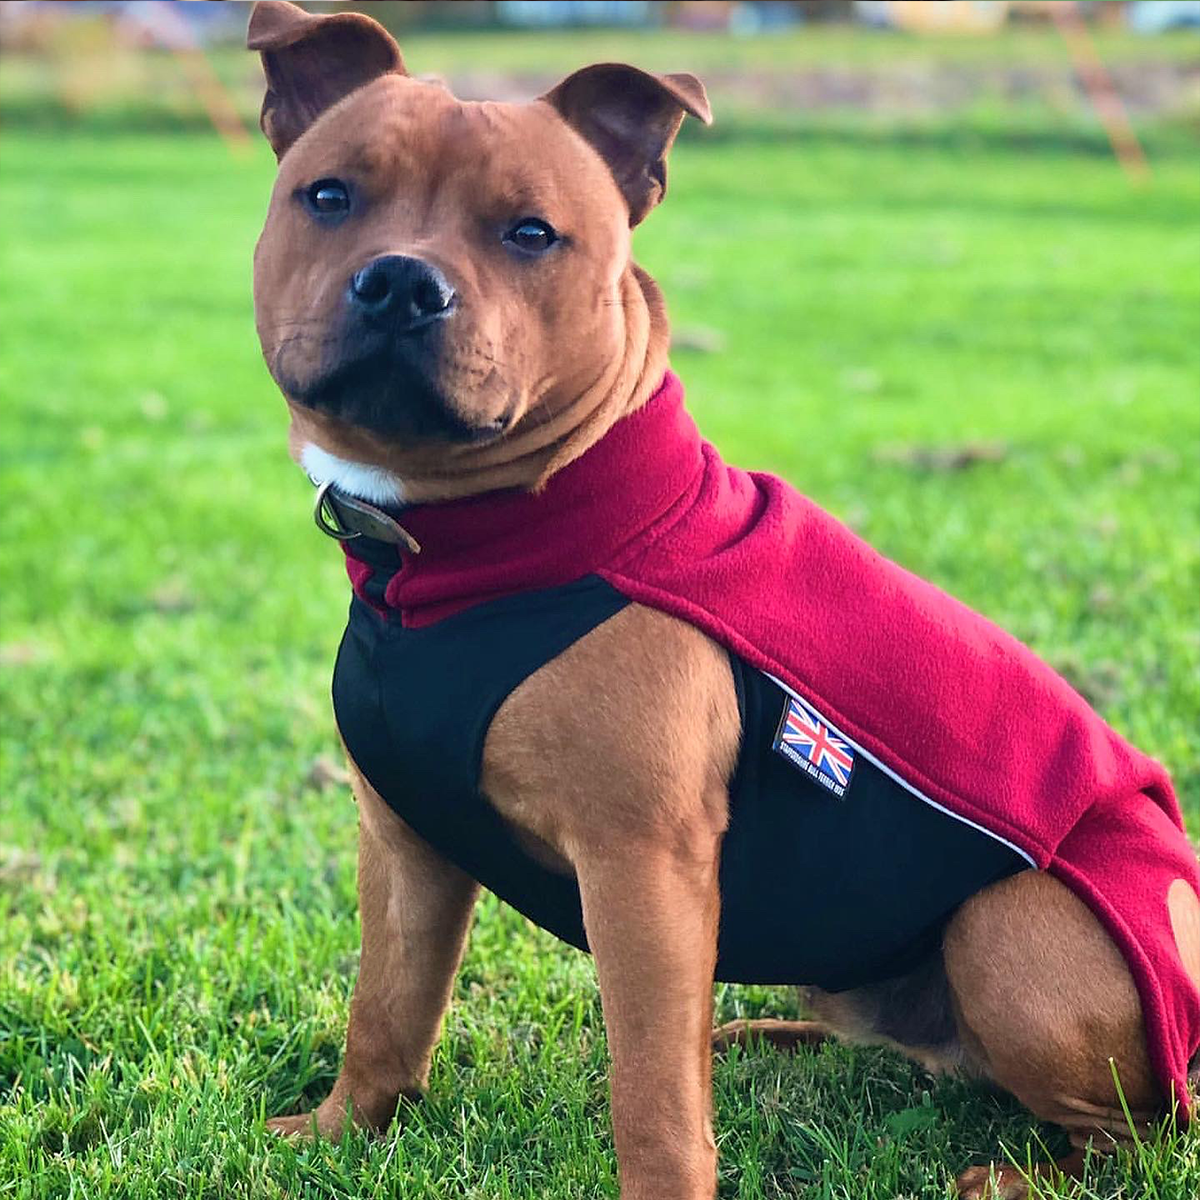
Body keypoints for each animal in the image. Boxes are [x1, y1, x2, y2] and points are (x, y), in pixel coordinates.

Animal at [246, 4, 1200, 1195]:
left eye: (532, 234)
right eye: (328, 195)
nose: (402, 283)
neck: (468, 551)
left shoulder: (643, 869)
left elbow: (652, 1090)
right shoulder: (404, 841)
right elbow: (386, 1007)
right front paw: (340, 1134)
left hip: (1015, 931)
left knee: (1132, 1131)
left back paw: (1016, 1175)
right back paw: (764, 1041)